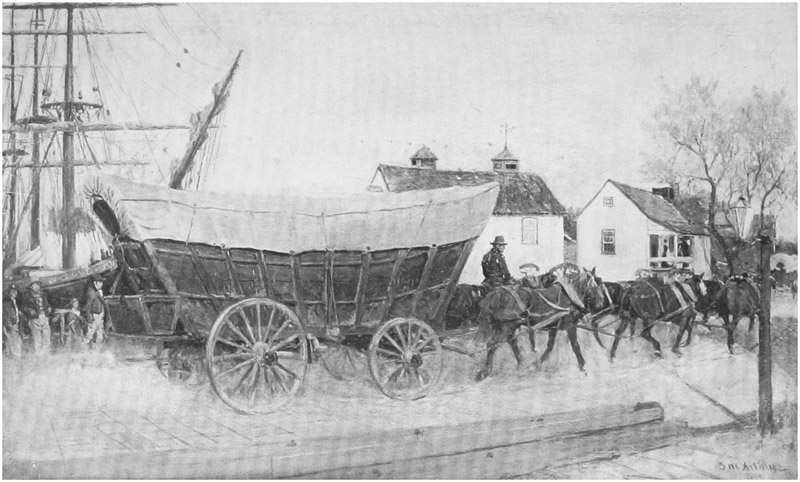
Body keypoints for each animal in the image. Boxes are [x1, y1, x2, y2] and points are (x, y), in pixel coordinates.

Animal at [473, 268, 606, 381]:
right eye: (597, 283)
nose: (601, 303)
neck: (568, 296)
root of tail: (497, 292)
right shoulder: (571, 325)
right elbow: (575, 346)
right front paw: (583, 367)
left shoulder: (553, 327)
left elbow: (550, 346)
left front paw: (536, 364)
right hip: (507, 325)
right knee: (493, 344)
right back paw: (485, 371)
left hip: (507, 325)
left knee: (511, 342)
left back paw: (520, 363)